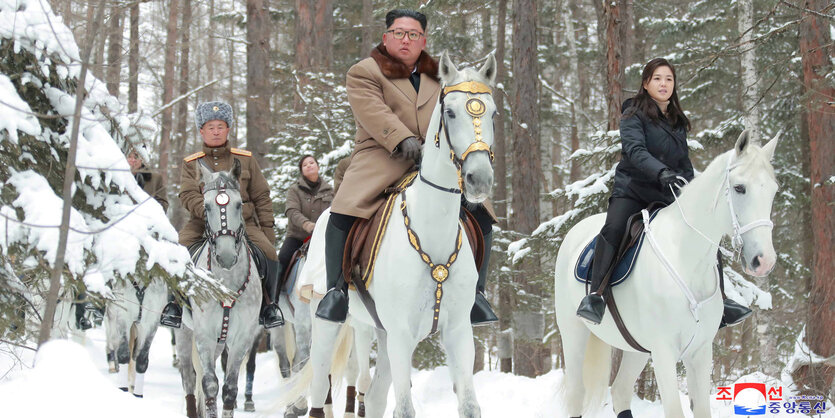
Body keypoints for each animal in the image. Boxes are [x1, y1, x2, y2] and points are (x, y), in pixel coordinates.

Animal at [176, 160, 264, 418]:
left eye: (238, 204)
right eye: (206, 207)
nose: (225, 256)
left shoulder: (243, 336)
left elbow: (229, 389)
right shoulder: (204, 333)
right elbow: (209, 384)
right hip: (184, 333)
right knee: (189, 377)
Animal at [298, 52, 496, 418]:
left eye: (493, 113)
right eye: (450, 112)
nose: (479, 179)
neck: (432, 237)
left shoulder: (457, 332)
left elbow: (469, 406)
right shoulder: (402, 334)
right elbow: (404, 408)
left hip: (383, 332)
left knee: (374, 396)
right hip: (329, 325)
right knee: (319, 391)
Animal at [556, 129, 784, 416]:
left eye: (773, 191)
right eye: (739, 188)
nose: (764, 261)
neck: (686, 261)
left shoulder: (700, 352)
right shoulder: (664, 352)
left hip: (637, 349)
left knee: (620, 391)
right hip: (574, 333)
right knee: (577, 394)